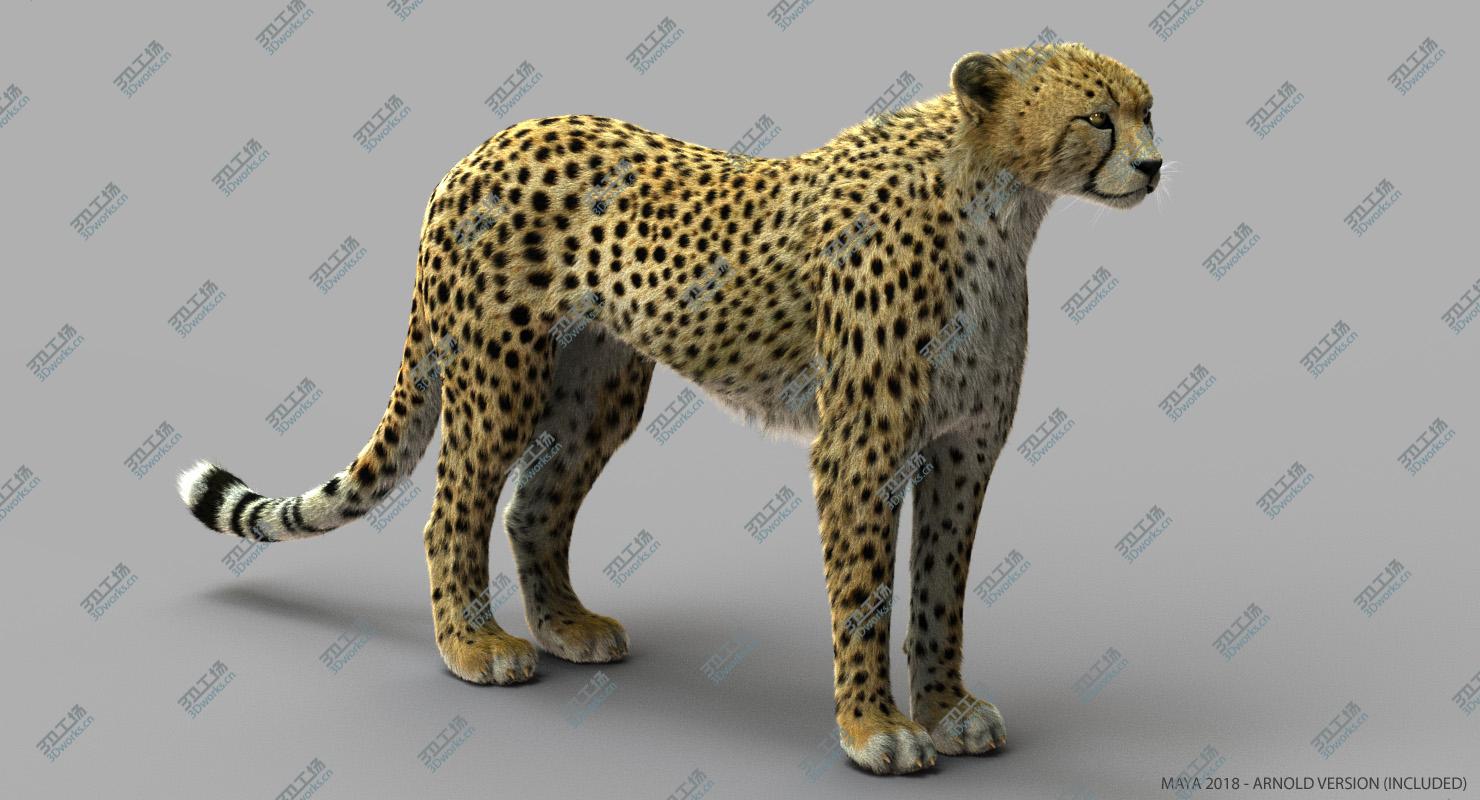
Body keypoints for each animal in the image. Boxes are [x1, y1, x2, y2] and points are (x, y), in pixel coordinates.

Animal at [177, 42, 1162, 775]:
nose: (1154, 165)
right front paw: (873, 729)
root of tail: (487, 141)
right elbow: (864, 595)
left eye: (1152, 110)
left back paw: (566, 626)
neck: (1001, 201)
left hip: (599, 391)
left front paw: (950, 708)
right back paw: (474, 645)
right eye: (1097, 117)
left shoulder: (964, 450)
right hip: (497, 380)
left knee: (533, 506)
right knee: (451, 507)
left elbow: (942, 590)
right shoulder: (861, 453)